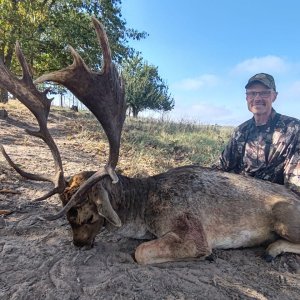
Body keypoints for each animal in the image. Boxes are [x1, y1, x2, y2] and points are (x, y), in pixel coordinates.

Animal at [0, 18, 300, 264]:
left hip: (286, 216)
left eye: (89, 214)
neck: (143, 209)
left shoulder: (193, 231)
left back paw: (272, 248)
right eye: (66, 216)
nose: (79, 244)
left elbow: (140, 252)